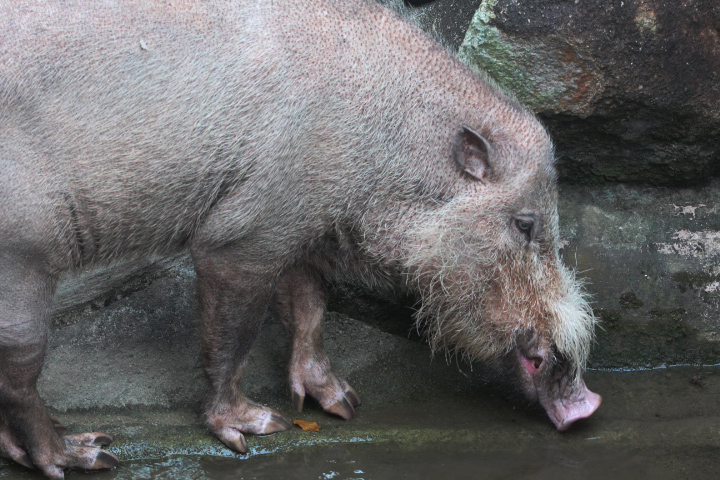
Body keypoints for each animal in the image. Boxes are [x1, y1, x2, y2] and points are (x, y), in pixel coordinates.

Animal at [0, 0, 601, 477]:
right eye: (526, 223)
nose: (588, 406)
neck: (384, 140)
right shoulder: (242, 235)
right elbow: (235, 335)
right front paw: (259, 426)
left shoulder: (298, 223)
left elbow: (309, 301)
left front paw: (344, 406)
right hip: (25, 255)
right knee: (20, 368)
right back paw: (86, 454)